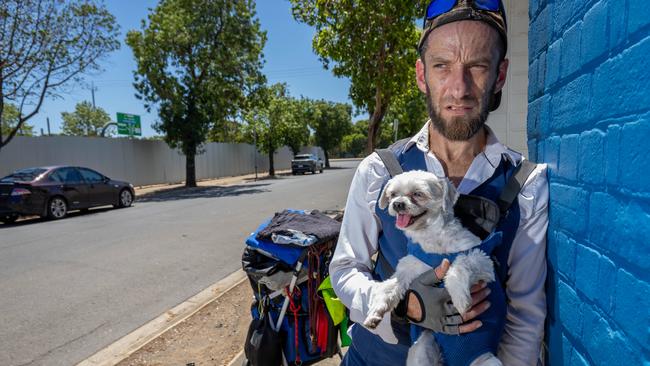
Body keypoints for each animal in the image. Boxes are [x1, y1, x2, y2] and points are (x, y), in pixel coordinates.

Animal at [364, 171, 496, 366]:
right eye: (393, 194)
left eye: (418, 194)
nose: (397, 204)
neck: (432, 240)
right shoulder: (407, 271)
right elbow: (388, 289)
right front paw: (375, 312)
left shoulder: (482, 258)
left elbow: (459, 264)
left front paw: (460, 298)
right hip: (421, 350)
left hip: (486, 359)